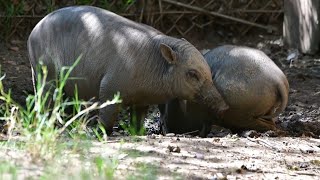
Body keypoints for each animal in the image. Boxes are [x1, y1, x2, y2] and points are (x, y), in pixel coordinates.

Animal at [26, 5, 228, 134]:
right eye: (192, 74)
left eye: (210, 73)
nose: (225, 107)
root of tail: (32, 32)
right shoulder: (109, 87)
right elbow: (108, 113)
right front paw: (101, 133)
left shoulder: (142, 101)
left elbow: (137, 119)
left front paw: (137, 132)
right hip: (45, 73)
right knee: (45, 99)